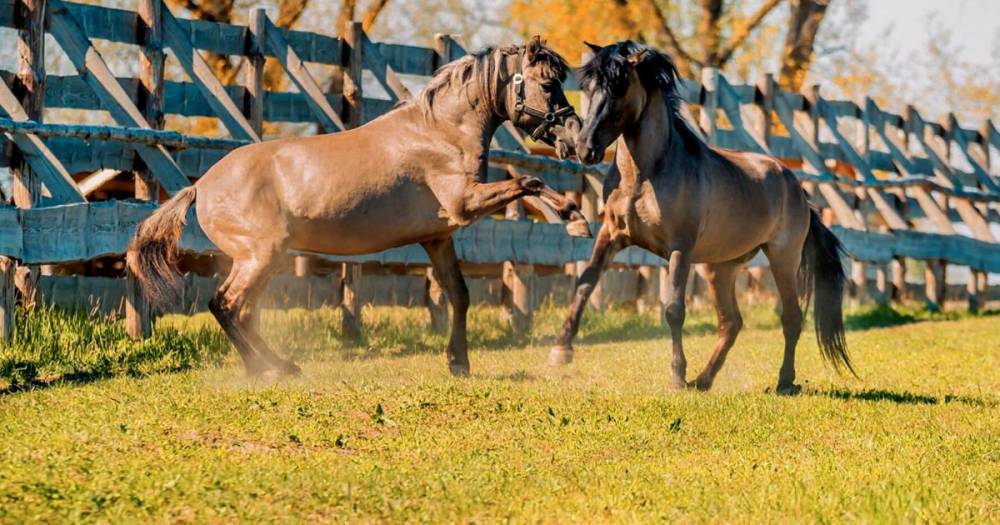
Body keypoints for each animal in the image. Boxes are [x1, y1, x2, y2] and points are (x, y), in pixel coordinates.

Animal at [129, 37, 588, 376]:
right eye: (548, 84)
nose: (575, 139)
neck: (440, 132)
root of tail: (201, 187)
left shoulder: (438, 237)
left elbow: (459, 294)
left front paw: (458, 363)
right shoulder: (465, 203)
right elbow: (529, 181)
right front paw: (576, 220)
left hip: (260, 259)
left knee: (237, 310)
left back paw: (273, 367)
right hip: (261, 255)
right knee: (226, 305)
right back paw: (272, 369)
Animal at [548, 42, 852, 392]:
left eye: (620, 87)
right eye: (589, 86)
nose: (584, 148)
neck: (644, 176)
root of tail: (796, 188)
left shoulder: (680, 248)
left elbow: (674, 310)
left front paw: (677, 375)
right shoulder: (611, 234)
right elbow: (585, 284)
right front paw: (561, 349)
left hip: (782, 258)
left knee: (791, 317)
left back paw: (784, 382)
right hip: (720, 267)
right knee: (731, 323)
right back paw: (703, 380)